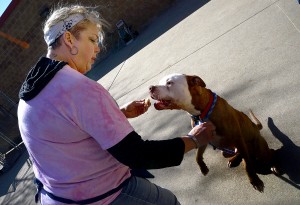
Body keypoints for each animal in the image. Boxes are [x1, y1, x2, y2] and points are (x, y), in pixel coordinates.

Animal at [149, 73, 278, 192]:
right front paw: (203, 168)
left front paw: (255, 181)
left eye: (169, 83)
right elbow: (197, 155)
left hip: (259, 149)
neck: (200, 112)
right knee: (239, 154)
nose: (150, 87)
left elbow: (248, 166)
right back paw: (233, 160)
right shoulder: (203, 137)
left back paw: (273, 165)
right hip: (226, 151)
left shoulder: (237, 138)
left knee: (269, 153)